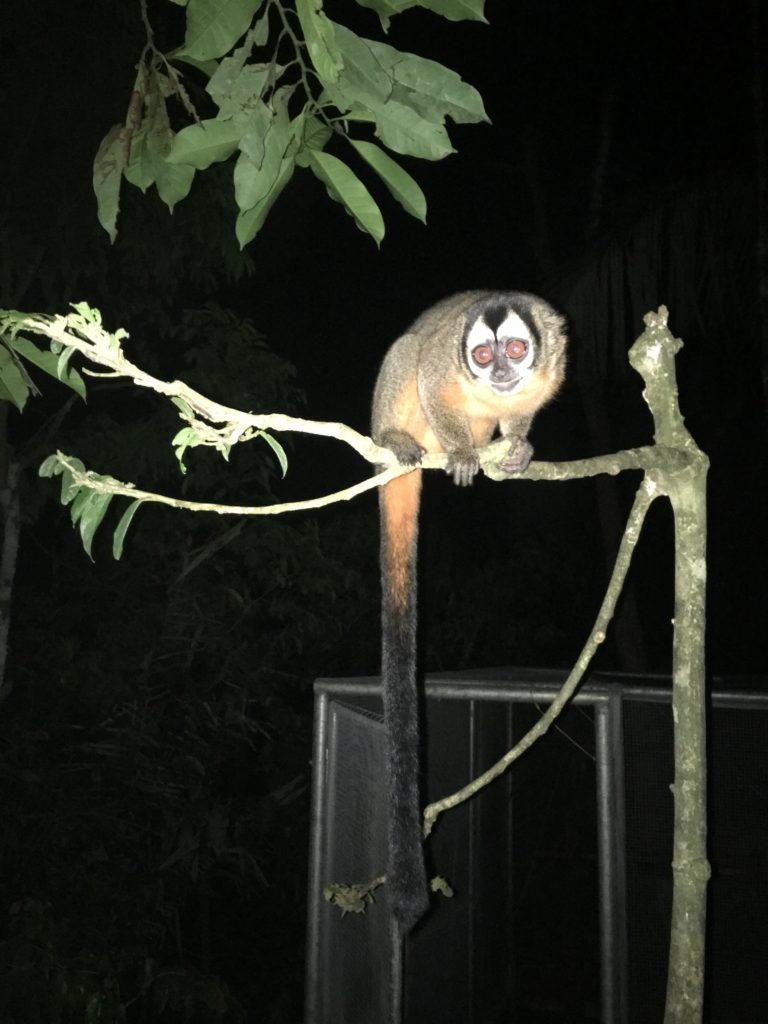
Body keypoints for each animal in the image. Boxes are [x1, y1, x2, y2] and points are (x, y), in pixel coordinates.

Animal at [371, 290, 568, 933]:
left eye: (515, 349)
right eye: (482, 355)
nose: (500, 370)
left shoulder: (550, 373)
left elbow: (527, 414)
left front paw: (520, 446)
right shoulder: (444, 368)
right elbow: (428, 375)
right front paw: (460, 452)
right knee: (406, 352)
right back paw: (403, 443)